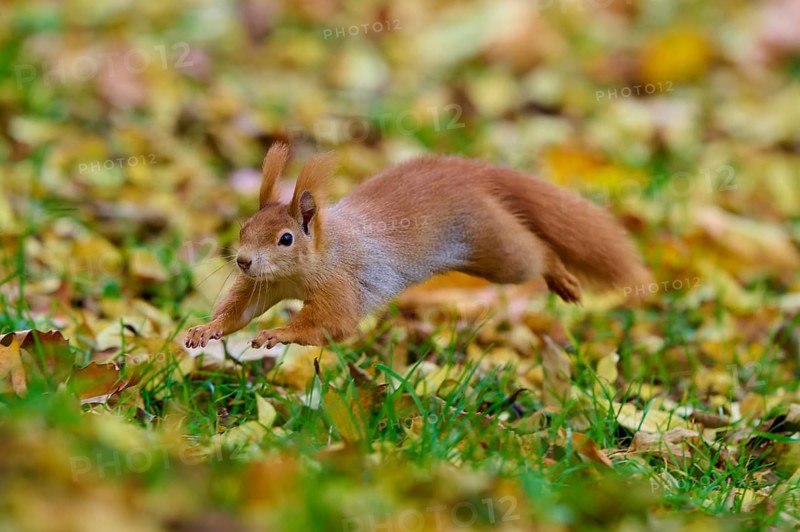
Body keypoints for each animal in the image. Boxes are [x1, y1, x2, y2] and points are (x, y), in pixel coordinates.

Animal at [185, 142, 651, 350]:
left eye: (286, 238)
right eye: (244, 228)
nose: (243, 261)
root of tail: (472, 176)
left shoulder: (342, 284)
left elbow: (333, 323)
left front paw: (277, 333)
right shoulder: (267, 284)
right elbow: (239, 311)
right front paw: (206, 329)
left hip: (496, 249)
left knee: (536, 253)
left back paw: (561, 277)